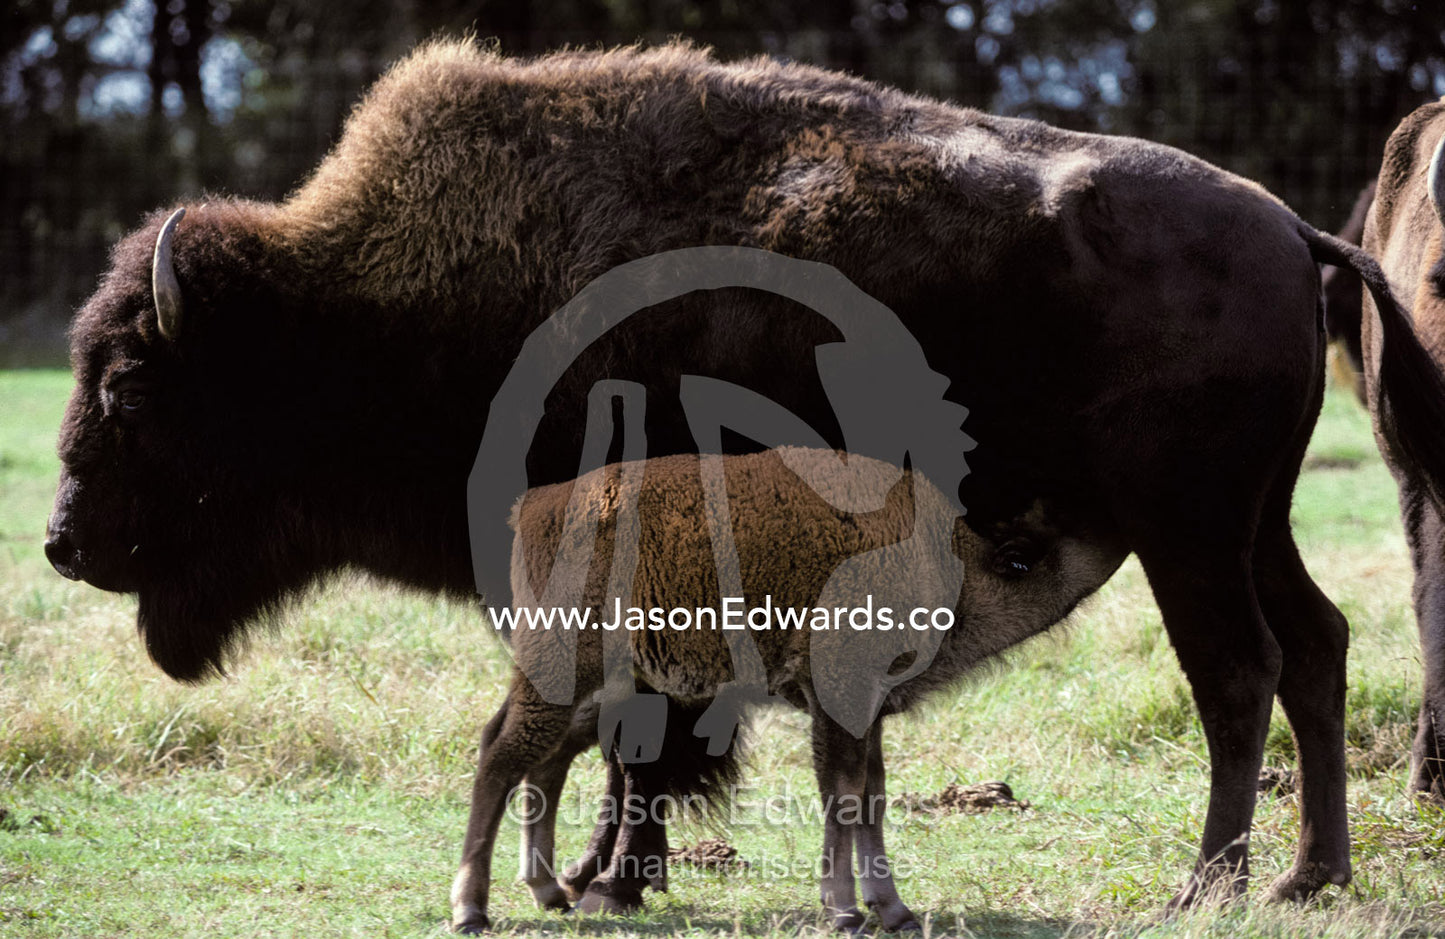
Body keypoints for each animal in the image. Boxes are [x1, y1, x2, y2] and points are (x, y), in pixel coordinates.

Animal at [42, 39, 1445, 931]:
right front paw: (607, 875)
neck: (357, 313)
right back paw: (1307, 877)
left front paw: (611, 879)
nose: (62, 543)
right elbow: (625, 737)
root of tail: (1288, 228)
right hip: (1251, 522)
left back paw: (1207, 885)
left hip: (1185, 531)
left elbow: (635, 742)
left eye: (132, 387)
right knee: (1315, 646)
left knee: (1235, 671)